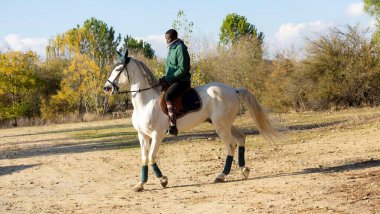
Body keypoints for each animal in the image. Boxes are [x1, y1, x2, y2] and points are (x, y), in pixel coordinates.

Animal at [104, 50, 280, 192]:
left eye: (118, 69)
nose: (106, 88)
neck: (145, 102)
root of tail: (233, 90)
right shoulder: (142, 136)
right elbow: (144, 158)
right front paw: (140, 184)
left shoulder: (157, 135)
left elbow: (152, 157)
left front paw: (163, 180)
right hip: (224, 124)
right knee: (241, 138)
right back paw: (244, 170)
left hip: (221, 126)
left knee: (231, 145)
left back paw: (221, 175)